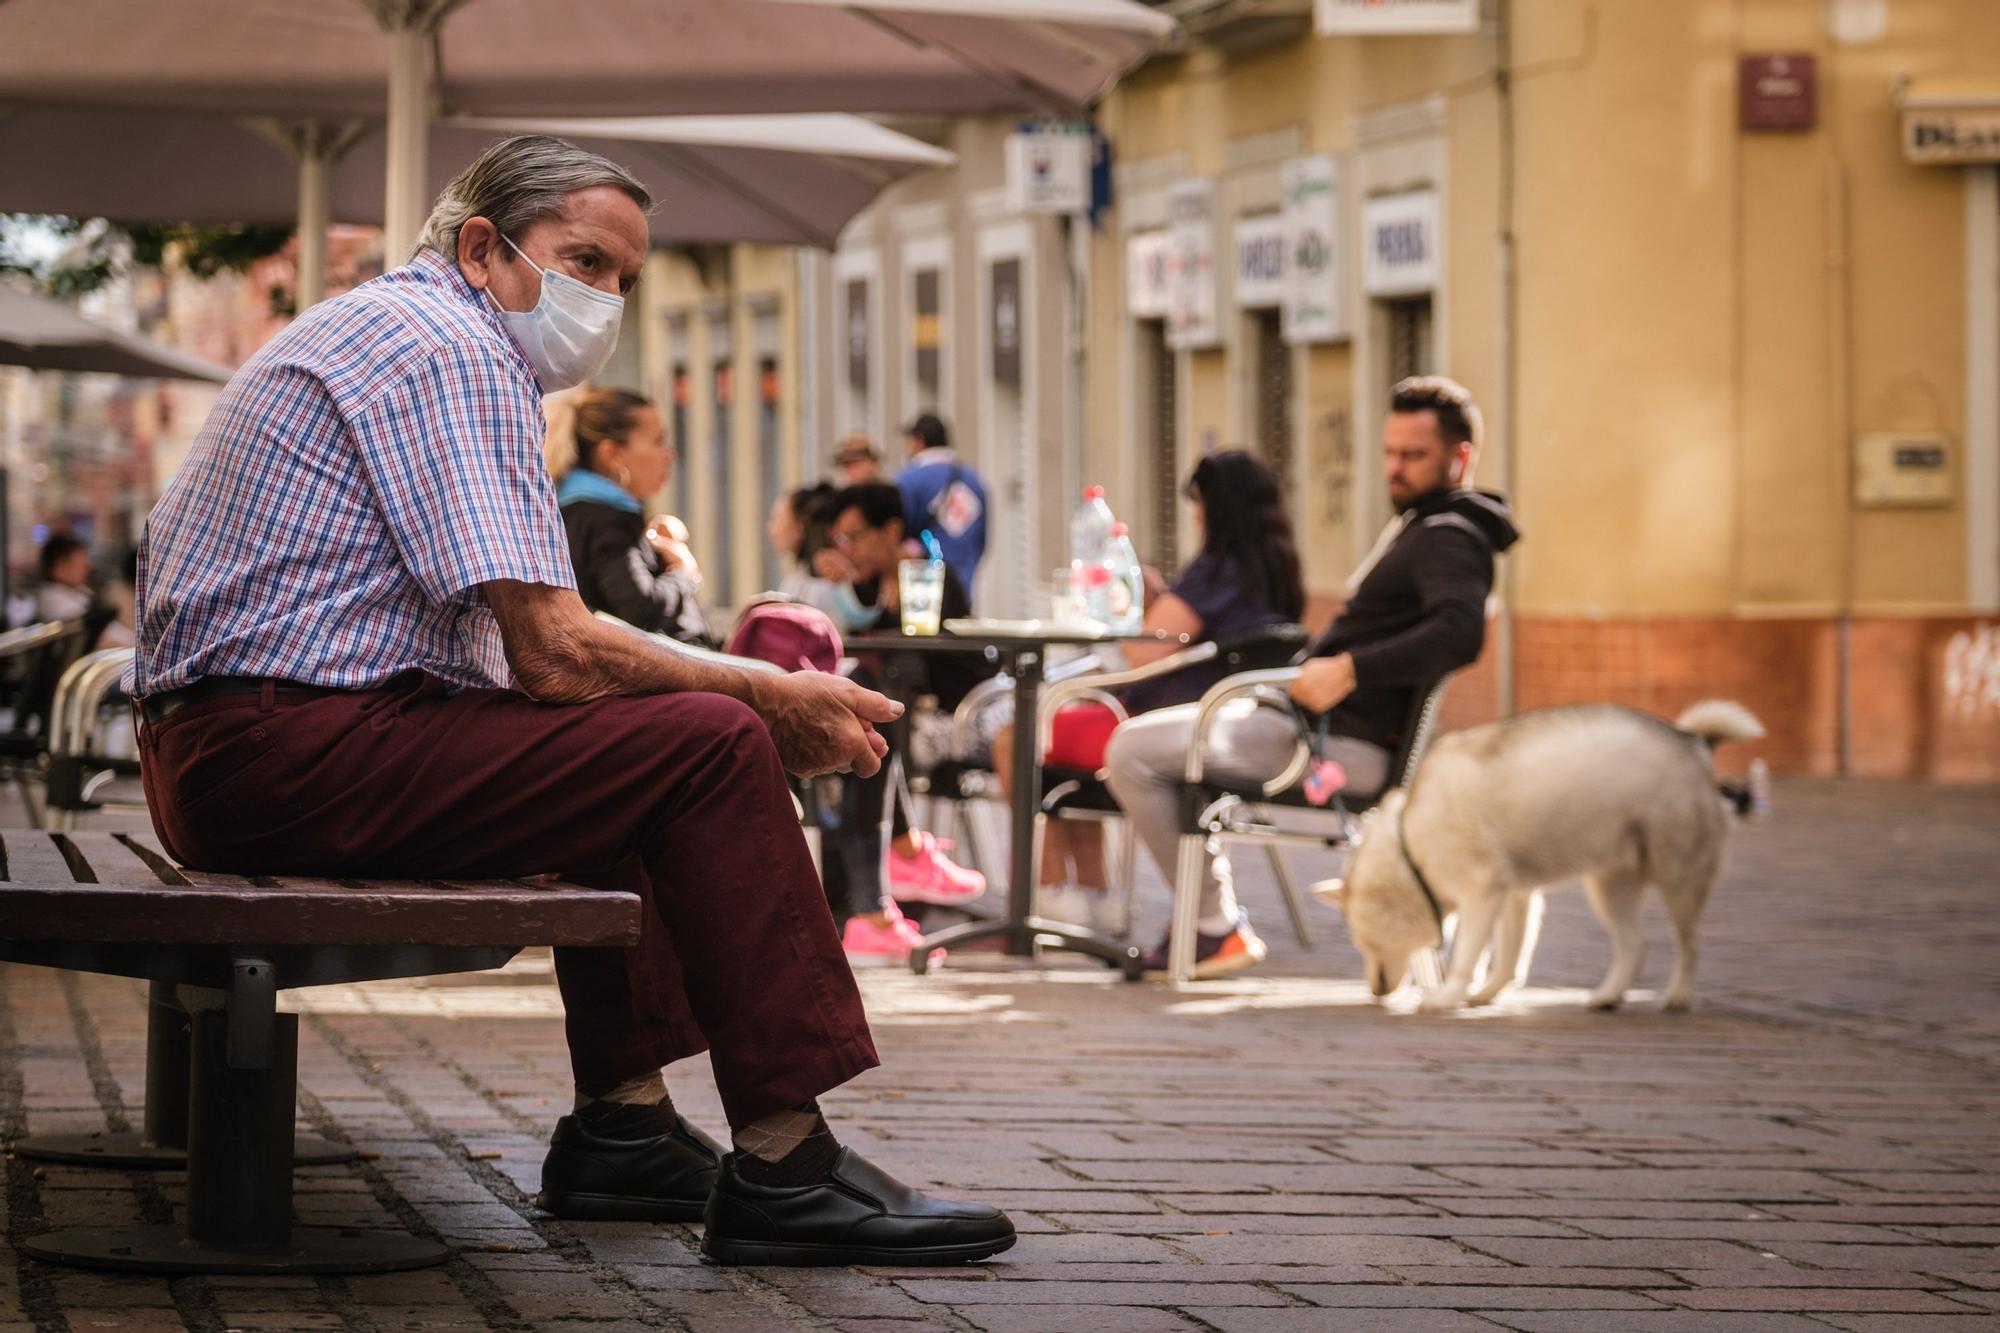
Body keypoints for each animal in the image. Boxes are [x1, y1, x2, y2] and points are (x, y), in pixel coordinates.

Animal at [1320, 696, 1760, 1008]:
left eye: (1359, 937)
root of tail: (1692, 741)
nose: (1375, 992)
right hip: (1609, 889)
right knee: (1635, 946)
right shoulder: (1515, 896)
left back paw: (1679, 996)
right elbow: (1508, 958)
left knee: (1689, 944)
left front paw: (1448, 997)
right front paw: (1485, 995)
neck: (1411, 840)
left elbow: (1466, 956)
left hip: (1677, 879)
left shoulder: (1483, 893)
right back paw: (1607, 996)